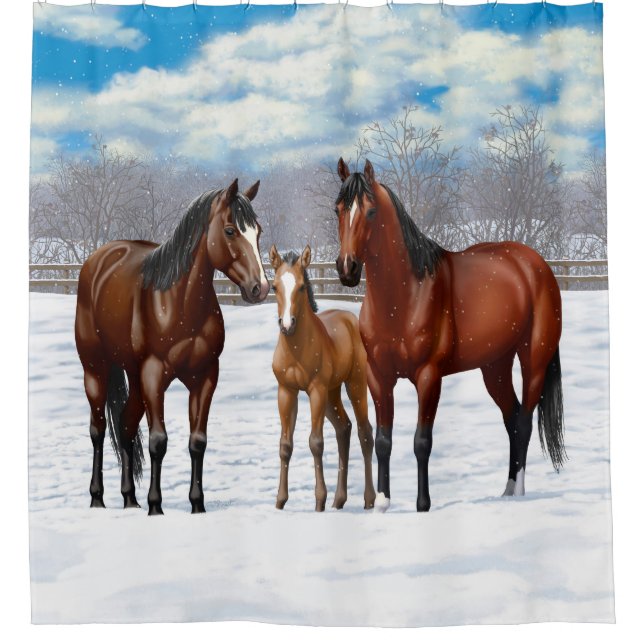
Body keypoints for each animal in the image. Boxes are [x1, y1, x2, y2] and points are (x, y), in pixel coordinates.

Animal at [75, 179, 270, 515]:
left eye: (257, 232)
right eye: (230, 230)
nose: (261, 288)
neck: (178, 302)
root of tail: (98, 260)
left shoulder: (205, 376)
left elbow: (197, 442)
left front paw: (197, 505)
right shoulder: (154, 375)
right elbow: (158, 441)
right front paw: (156, 506)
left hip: (133, 376)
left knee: (125, 426)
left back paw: (130, 499)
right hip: (95, 369)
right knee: (98, 430)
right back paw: (98, 498)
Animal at [269, 245, 376, 512]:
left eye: (301, 287)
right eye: (274, 286)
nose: (287, 324)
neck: (297, 349)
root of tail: (351, 319)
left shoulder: (315, 390)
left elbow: (315, 442)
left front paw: (319, 501)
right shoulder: (286, 391)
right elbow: (285, 445)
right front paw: (280, 501)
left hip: (354, 384)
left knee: (364, 432)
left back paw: (369, 499)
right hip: (332, 392)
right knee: (344, 428)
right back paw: (339, 500)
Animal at [333, 158, 565, 512]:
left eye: (370, 212)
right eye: (338, 209)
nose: (347, 268)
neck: (405, 296)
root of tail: (536, 264)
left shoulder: (429, 377)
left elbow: (422, 441)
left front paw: (423, 504)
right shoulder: (378, 377)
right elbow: (383, 440)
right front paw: (384, 502)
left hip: (534, 361)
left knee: (524, 422)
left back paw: (519, 493)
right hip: (495, 367)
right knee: (512, 419)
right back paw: (507, 490)